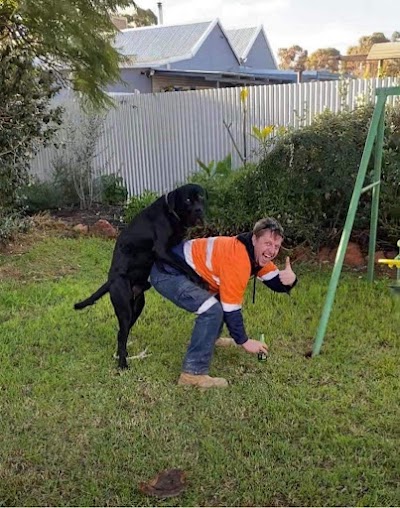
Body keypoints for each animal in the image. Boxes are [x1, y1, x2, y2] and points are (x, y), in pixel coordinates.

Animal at [73, 185, 206, 368]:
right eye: (187, 200)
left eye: (201, 197)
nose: (200, 209)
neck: (171, 213)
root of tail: (111, 281)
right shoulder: (162, 249)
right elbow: (183, 264)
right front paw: (199, 279)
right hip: (124, 309)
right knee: (122, 334)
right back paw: (122, 364)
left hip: (137, 306)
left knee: (123, 332)